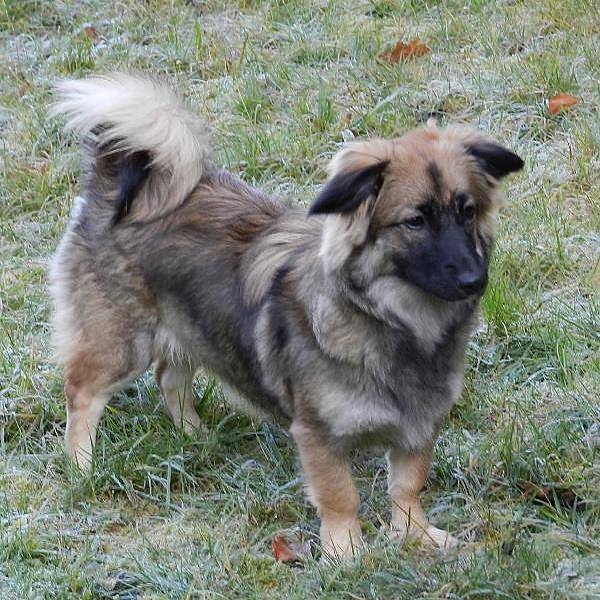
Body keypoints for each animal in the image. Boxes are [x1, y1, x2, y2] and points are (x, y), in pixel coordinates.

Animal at [49, 73, 523, 558]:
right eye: (415, 222)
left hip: (191, 325)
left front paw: (416, 533)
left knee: (170, 376)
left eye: (468, 213)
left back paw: (194, 435)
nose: (474, 279)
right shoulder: (318, 434)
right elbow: (340, 495)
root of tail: (116, 182)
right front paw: (346, 552)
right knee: (82, 395)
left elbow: (407, 485)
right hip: (122, 344)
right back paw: (84, 466)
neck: (397, 320)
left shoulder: (420, 423)